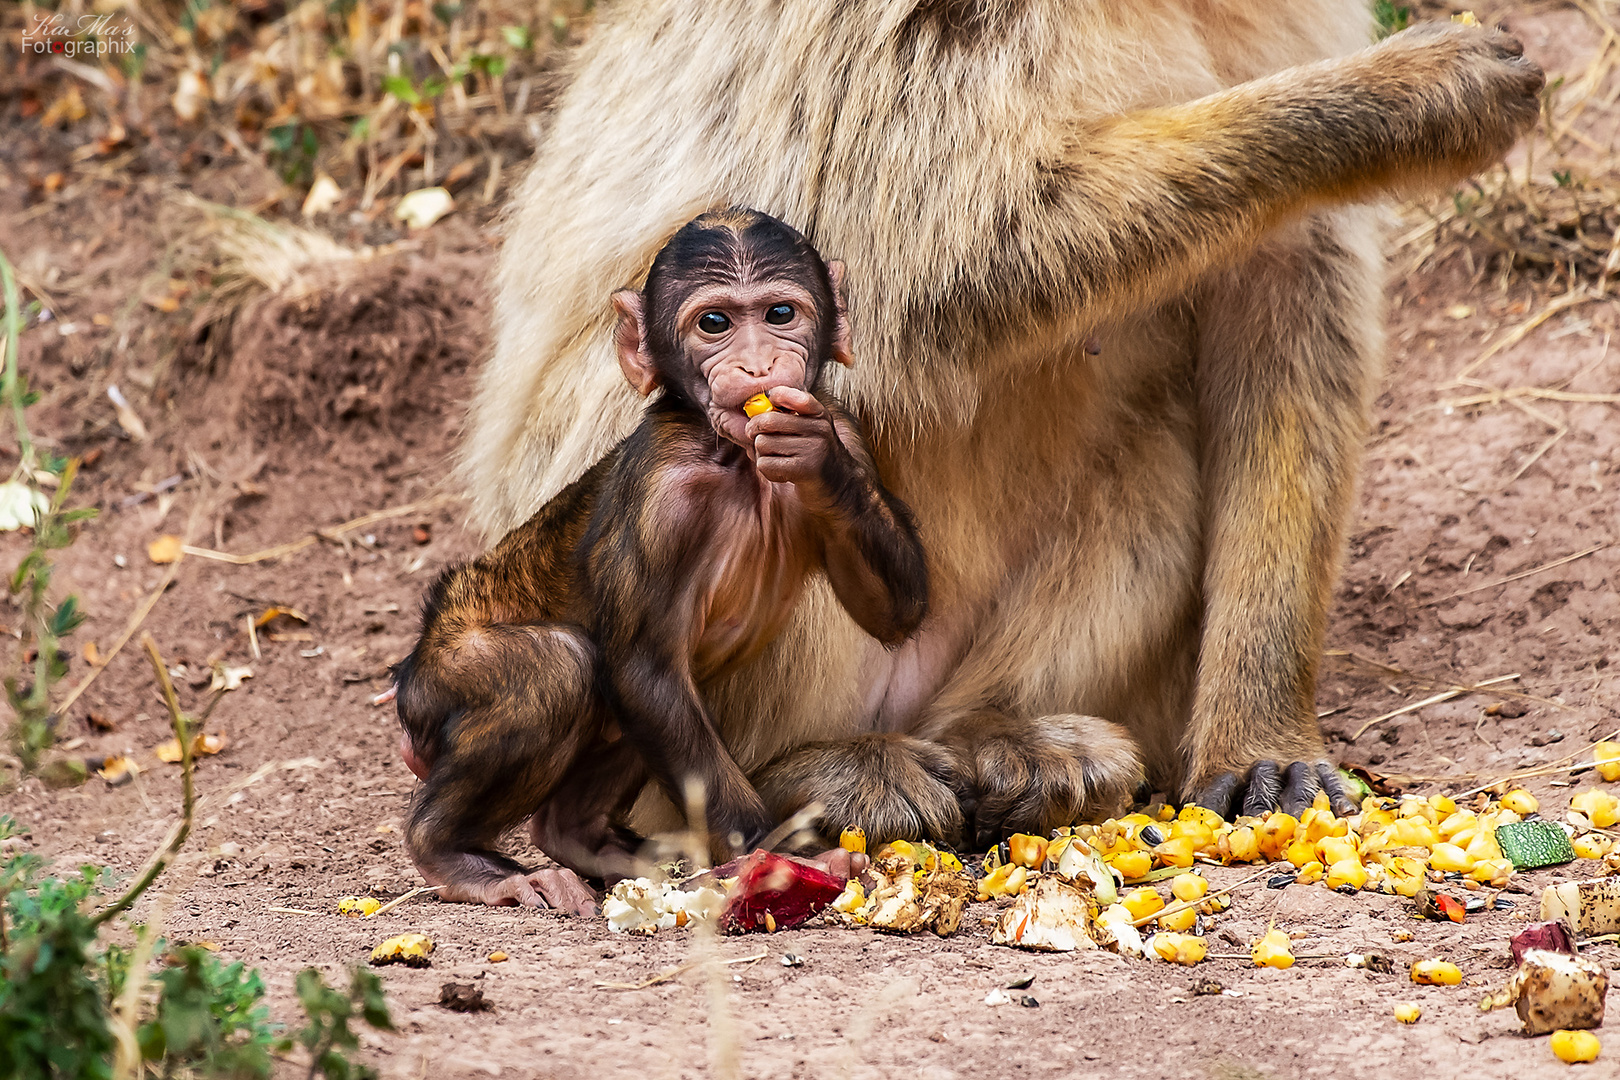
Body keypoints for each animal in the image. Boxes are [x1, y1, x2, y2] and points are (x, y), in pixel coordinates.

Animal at [385, 208, 933, 913]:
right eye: (714, 324)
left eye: (781, 313)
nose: (757, 364)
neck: (731, 458)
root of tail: (411, 670)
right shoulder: (661, 489)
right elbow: (645, 668)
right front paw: (782, 855)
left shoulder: (847, 430)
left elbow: (897, 607)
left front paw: (814, 459)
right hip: (444, 676)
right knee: (558, 669)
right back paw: (454, 854)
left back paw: (593, 841)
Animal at [460, 4, 1542, 848]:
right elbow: (960, 250)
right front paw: (1405, 98)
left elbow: (1288, 304)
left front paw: (1261, 732)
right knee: (720, 458)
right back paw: (804, 773)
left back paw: (1001, 735)